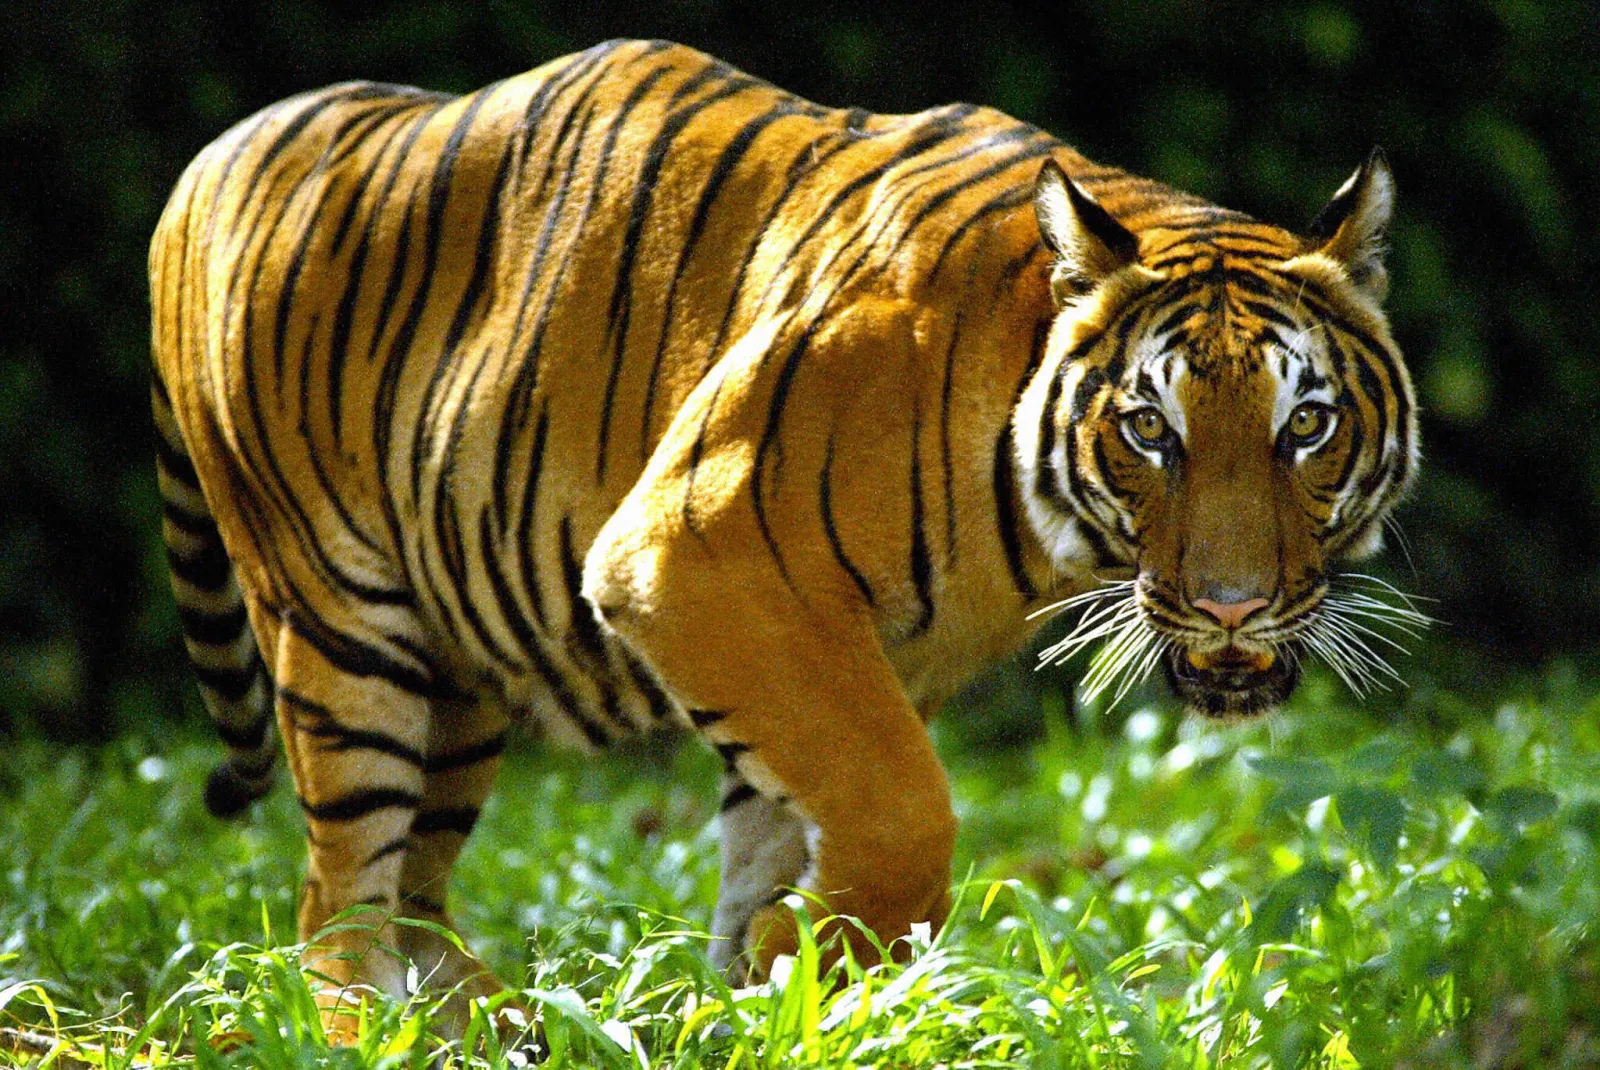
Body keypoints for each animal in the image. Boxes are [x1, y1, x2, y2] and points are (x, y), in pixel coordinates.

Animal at [148, 38, 1418, 1036]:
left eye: (1305, 424)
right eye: (1150, 427)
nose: (1230, 605)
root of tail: (214, 157)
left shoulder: (842, 651)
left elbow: (795, 817)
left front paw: (760, 992)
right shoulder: (699, 555)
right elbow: (903, 810)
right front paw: (799, 957)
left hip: (455, 677)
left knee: (412, 887)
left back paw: (495, 1018)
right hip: (340, 631)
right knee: (335, 903)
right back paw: (380, 1028)